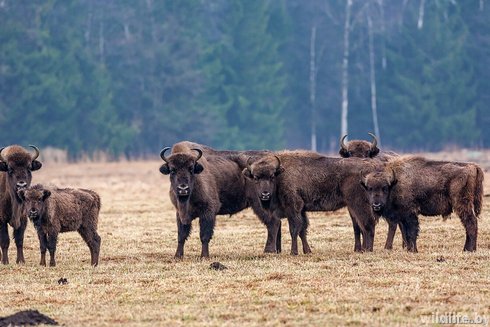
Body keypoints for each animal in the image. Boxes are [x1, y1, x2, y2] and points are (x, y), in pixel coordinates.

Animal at [243, 152, 378, 256]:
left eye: (271, 176)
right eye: (256, 177)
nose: (265, 194)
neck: (280, 175)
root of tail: (370, 168)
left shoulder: (293, 208)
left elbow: (294, 229)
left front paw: (293, 252)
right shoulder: (302, 210)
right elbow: (303, 230)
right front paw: (307, 251)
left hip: (358, 204)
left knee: (368, 224)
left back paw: (368, 250)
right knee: (363, 226)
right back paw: (363, 250)